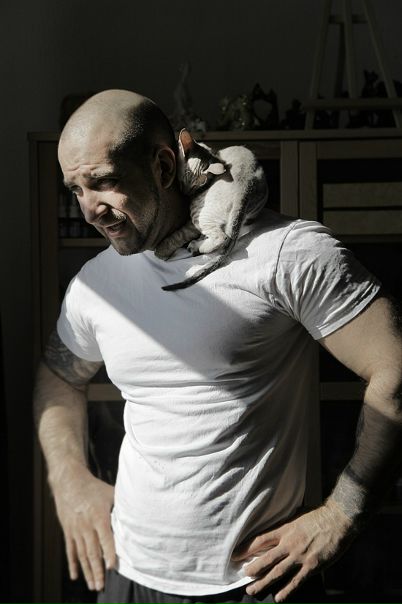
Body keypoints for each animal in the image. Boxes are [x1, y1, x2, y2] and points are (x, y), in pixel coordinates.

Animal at [156, 129, 268, 291]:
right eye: (183, 182)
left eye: (194, 186)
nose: (186, 193)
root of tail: (247, 186)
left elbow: (178, 236)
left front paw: (160, 251)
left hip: (199, 213)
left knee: (222, 237)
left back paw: (196, 246)